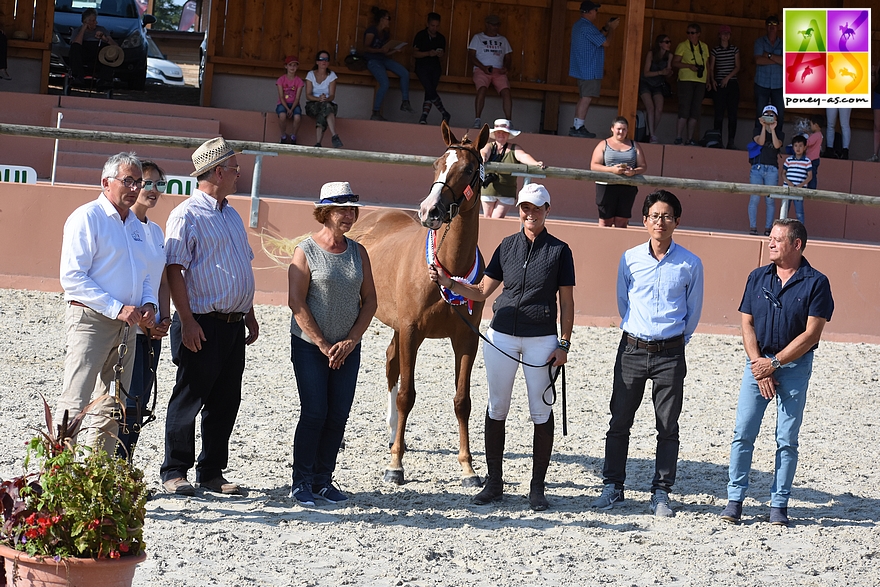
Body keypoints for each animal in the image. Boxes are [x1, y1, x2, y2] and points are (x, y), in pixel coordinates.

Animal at [348, 120, 488, 486]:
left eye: (469, 170)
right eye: (437, 164)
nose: (430, 211)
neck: (447, 270)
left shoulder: (465, 339)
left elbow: (462, 400)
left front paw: (468, 468)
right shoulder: (412, 331)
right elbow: (406, 395)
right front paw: (395, 466)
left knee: (390, 362)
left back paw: (395, 435)